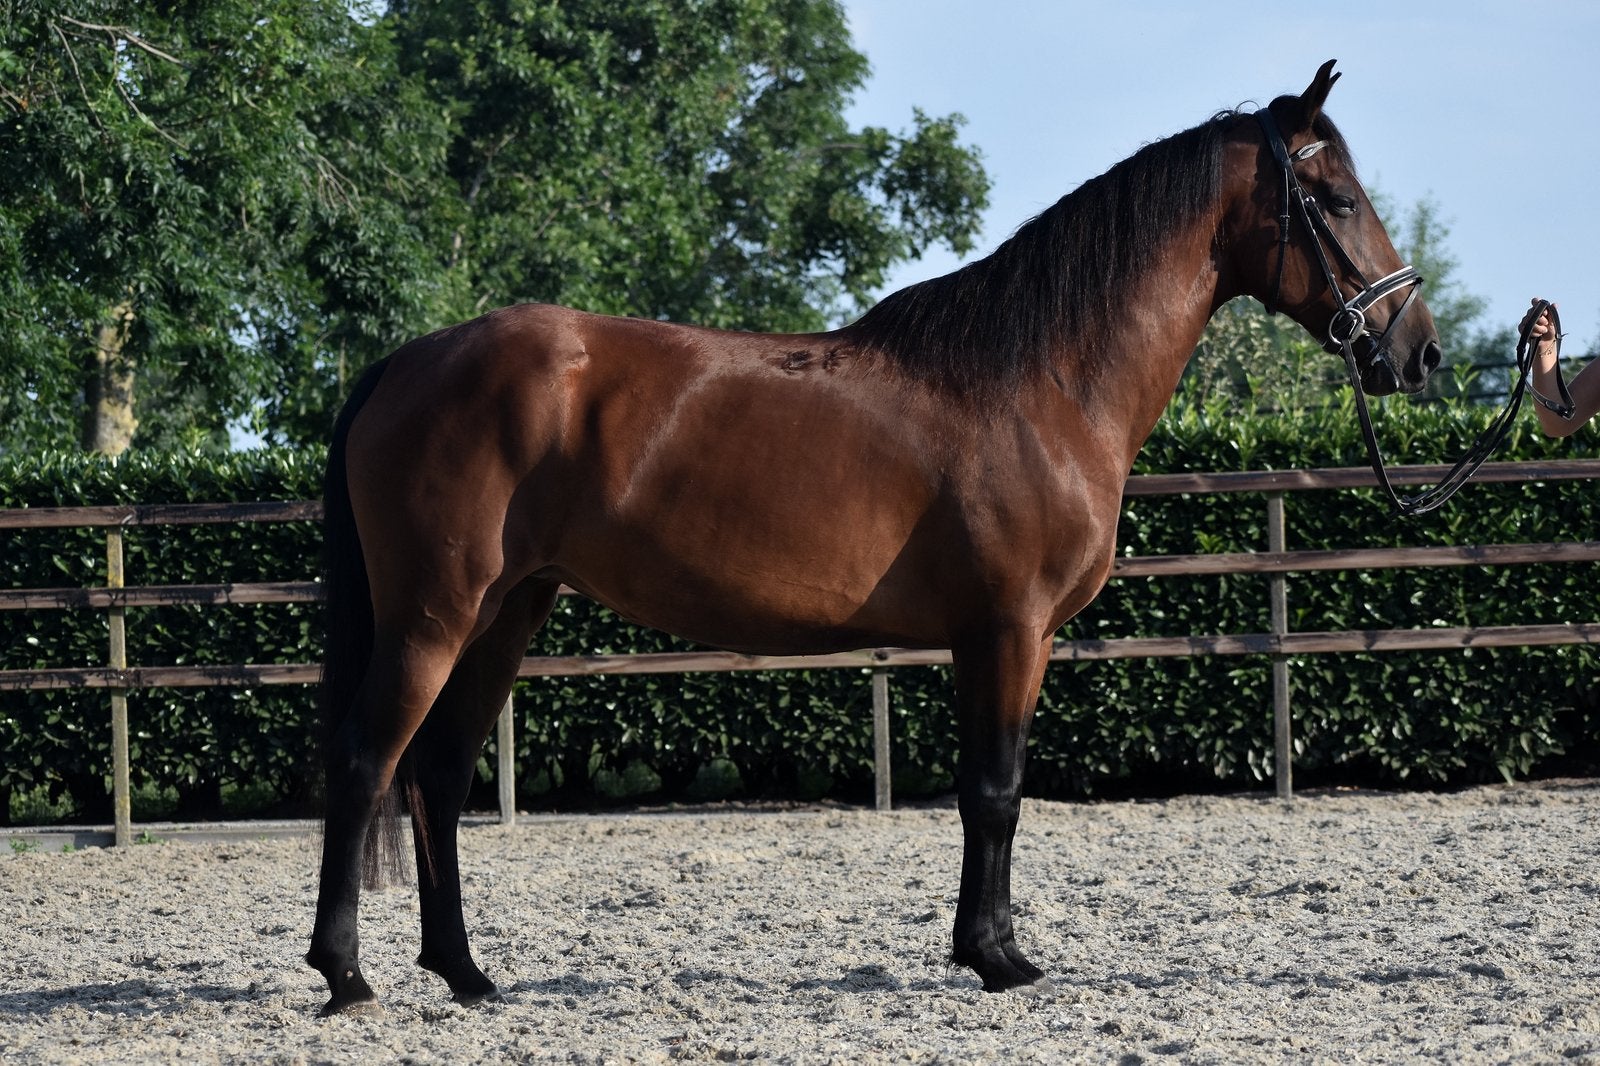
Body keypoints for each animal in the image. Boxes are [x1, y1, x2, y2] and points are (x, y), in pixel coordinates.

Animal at [306, 60, 1440, 1014]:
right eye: (1337, 200)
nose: (1418, 352)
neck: (1041, 381)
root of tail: (406, 361)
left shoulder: (1000, 638)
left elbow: (988, 793)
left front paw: (985, 948)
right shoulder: (1006, 630)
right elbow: (995, 791)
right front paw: (998, 959)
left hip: (507, 609)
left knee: (439, 774)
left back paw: (464, 972)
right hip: (434, 615)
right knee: (364, 761)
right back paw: (346, 974)